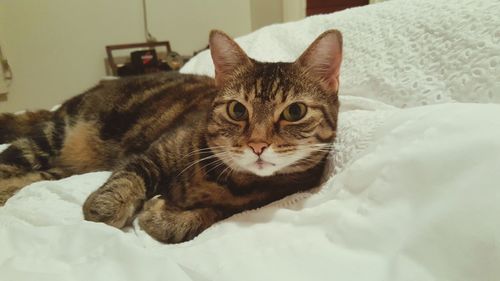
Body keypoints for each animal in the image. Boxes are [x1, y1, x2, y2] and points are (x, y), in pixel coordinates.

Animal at [0, 29, 342, 242]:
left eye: (294, 112)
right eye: (237, 110)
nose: (257, 144)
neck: (232, 181)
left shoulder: (247, 206)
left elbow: (201, 218)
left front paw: (161, 214)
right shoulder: (155, 152)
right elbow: (129, 176)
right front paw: (107, 208)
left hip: (61, 167)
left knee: (29, 177)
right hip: (51, 136)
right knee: (8, 164)